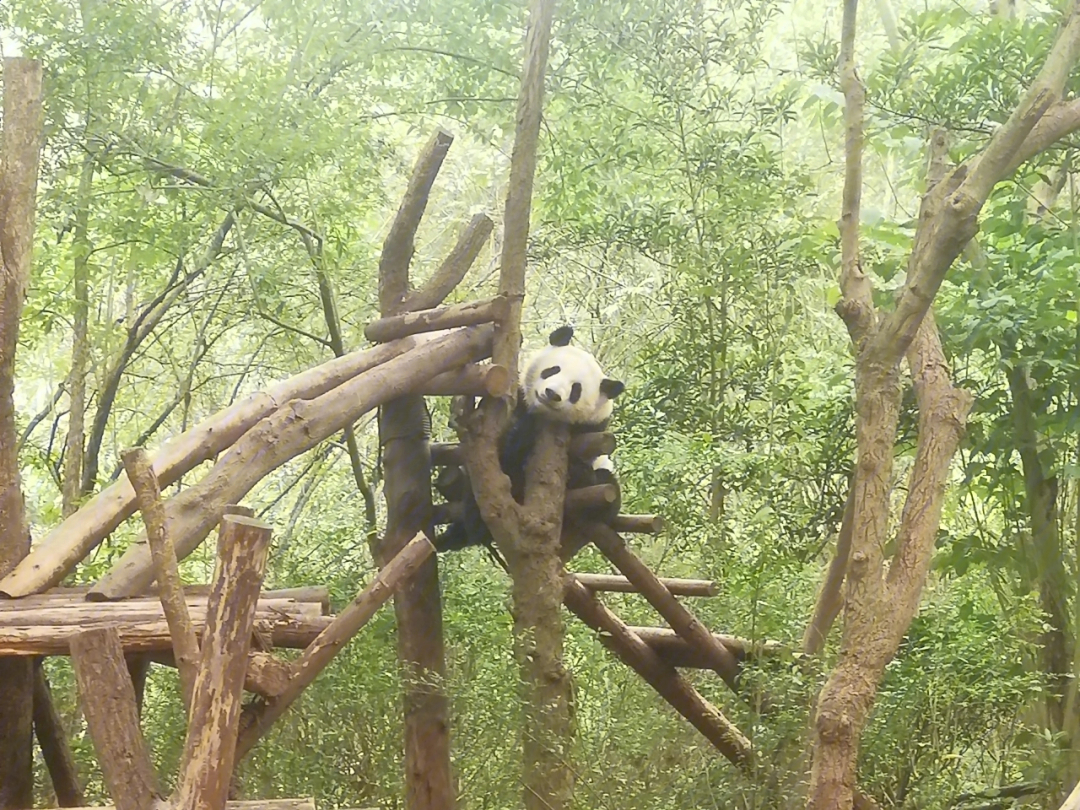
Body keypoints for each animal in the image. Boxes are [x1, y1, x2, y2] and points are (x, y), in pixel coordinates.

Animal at [436, 324, 630, 557]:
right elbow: (507, 449)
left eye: (576, 389)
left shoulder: (591, 430)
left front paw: (577, 471)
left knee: (608, 491)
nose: (552, 393)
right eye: (553, 370)